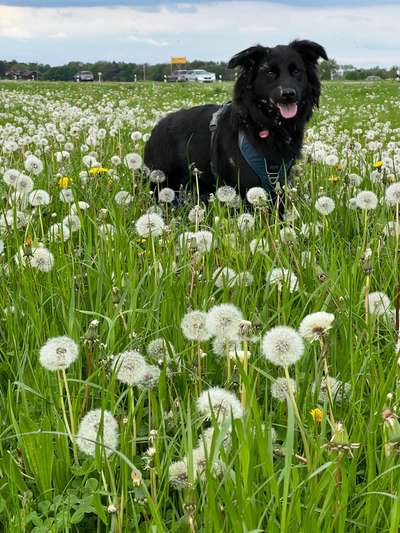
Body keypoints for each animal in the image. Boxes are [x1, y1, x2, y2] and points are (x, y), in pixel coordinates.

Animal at [145, 39, 326, 201]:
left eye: (296, 71)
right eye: (269, 72)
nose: (288, 94)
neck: (265, 125)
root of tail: (157, 127)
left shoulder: (278, 184)